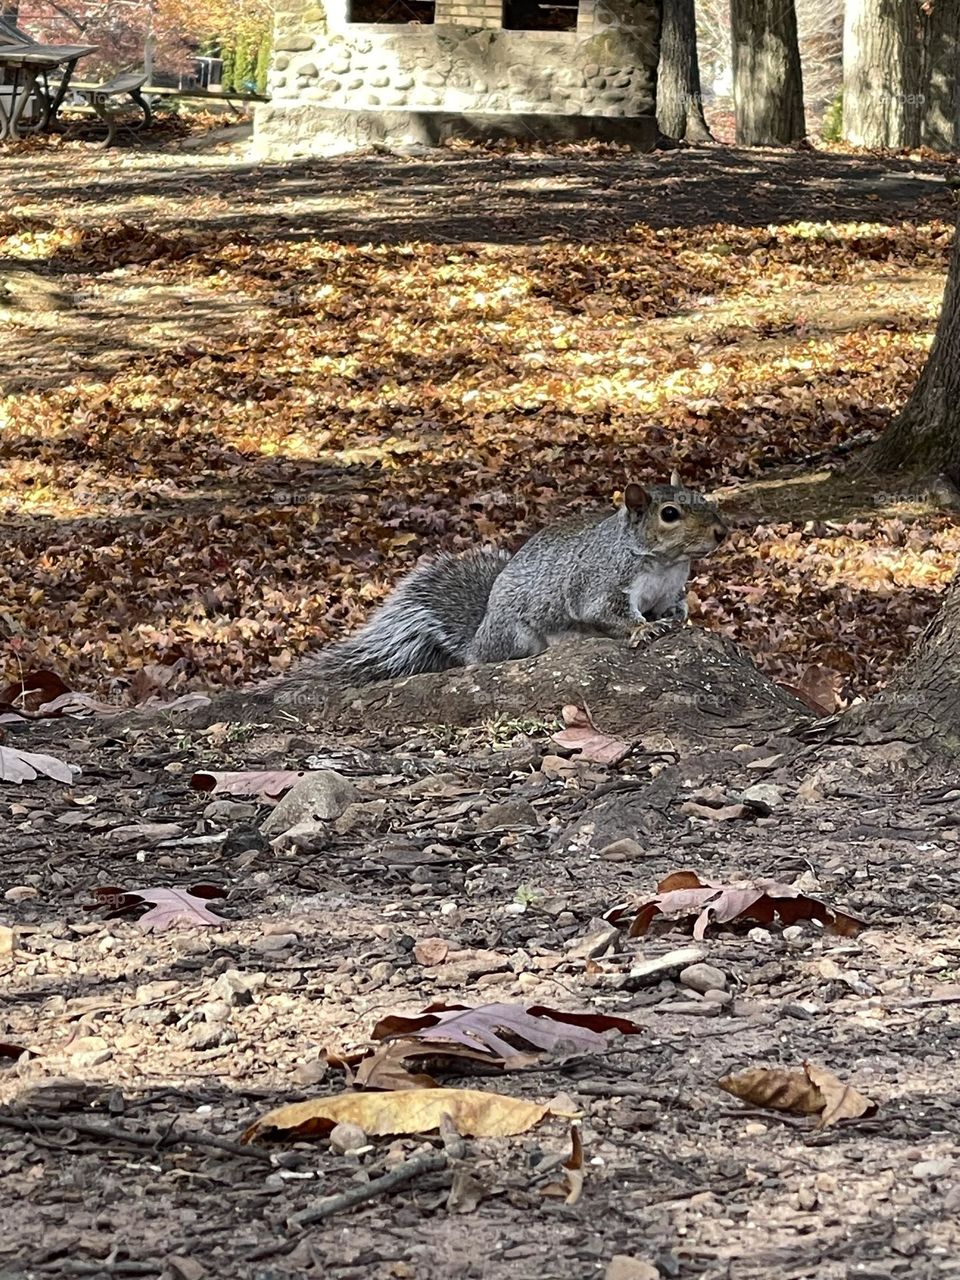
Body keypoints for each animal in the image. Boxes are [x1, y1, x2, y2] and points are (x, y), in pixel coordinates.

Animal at [303, 474, 727, 686]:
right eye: (669, 514)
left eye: (702, 496)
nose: (722, 533)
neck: (664, 564)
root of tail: (478, 642)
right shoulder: (599, 582)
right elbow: (604, 612)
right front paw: (641, 630)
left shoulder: (667, 591)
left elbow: (673, 607)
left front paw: (678, 618)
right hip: (518, 637)